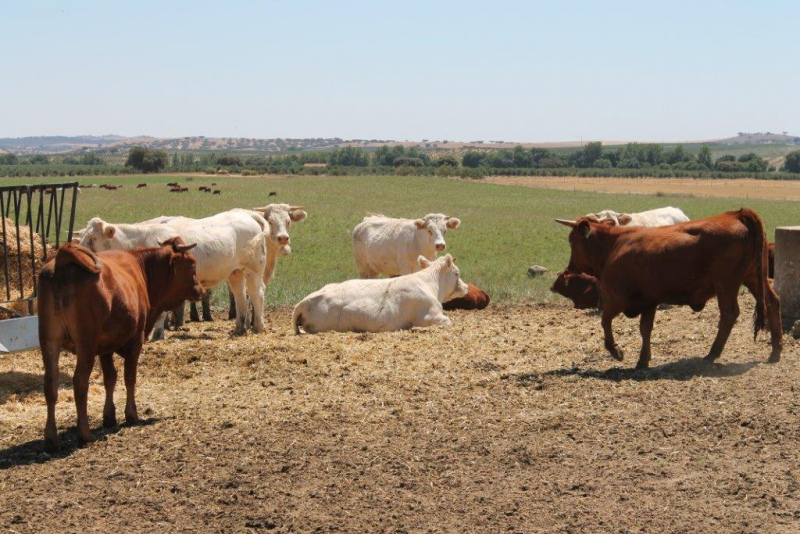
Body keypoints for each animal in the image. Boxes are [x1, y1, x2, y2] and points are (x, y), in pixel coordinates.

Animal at [39, 239, 205, 452]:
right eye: (192, 264)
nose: (201, 290)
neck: (141, 269)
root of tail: (62, 259)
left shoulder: (105, 346)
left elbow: (110, 377)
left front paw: (109, 416)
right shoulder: (135, 339)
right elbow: (129, 377)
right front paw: (131, 414)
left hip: (49, 342)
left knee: (50, 384)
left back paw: (51, 438)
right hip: (86, 343)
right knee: (80, 382)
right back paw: (84, 434)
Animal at [78, 209, 272, 340]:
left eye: (92, 239)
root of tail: (246, 214)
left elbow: (160, 313)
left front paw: (157, 334)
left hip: (253, 269)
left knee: (257, 294)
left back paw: (258, 326)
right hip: (235, 272)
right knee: (240, 296)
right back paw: (239, 328)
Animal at [292, 255, 468, 336]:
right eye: (457, 273)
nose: (466, 287)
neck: (429, 284)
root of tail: (303, 302)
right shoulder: (430, 316)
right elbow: (447, 321)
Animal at [556, 208, 780, 368]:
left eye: (571, 240)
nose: (570, 267)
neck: (615, 244)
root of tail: (737, 213)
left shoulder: (619, 298)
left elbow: (605, 321)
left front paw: (615, 351)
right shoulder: (648, 301)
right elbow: (645, 329)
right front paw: (643, 360)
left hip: (726, 285)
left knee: (729, 314)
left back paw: (712, 353)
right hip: (754, 278)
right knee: (772, 302)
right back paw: (776, 351)